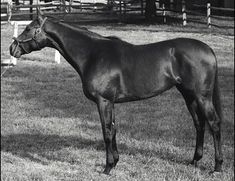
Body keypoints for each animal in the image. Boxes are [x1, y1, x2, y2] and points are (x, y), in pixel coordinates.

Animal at [9, 10, 222, 175]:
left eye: (28, 28)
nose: (12, 48)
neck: (93, 54)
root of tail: (209, 50)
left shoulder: (103, 101)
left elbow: (107, 132)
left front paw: (108, 167)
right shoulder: (110, 102)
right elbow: (114, 129)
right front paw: (116, 161)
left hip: (202, 97)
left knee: (214, 124)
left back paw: (217, 167)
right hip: (189, 96)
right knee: (199, 124)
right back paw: (194, 161)